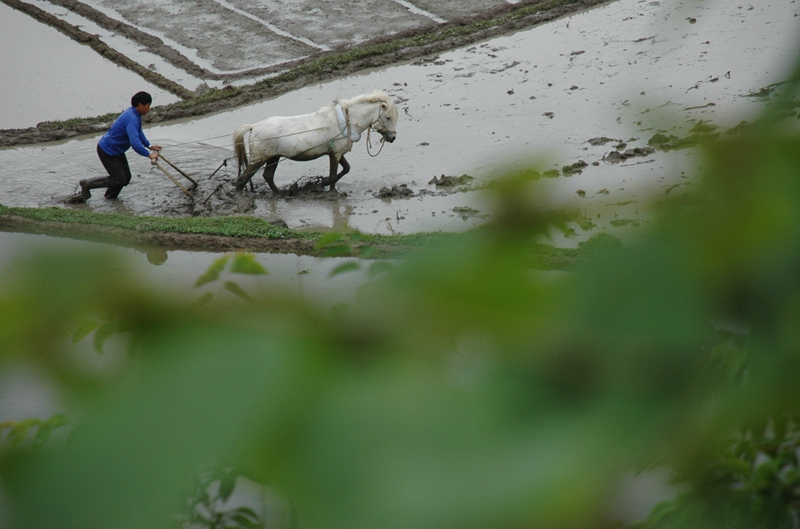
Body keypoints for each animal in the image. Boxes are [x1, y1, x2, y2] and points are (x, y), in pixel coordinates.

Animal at [231, 92, 396, 193]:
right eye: (388, 117)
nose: (393, 138)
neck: (344, 120)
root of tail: (253, 126)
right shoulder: (334, 154)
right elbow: (334, 175)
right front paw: (331, 191)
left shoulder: (336, 152)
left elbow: (346, 169)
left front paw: (323, 183)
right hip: (259, 158)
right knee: (242, 180)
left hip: (273, 157)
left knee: (268, 176)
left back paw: (279, 194)